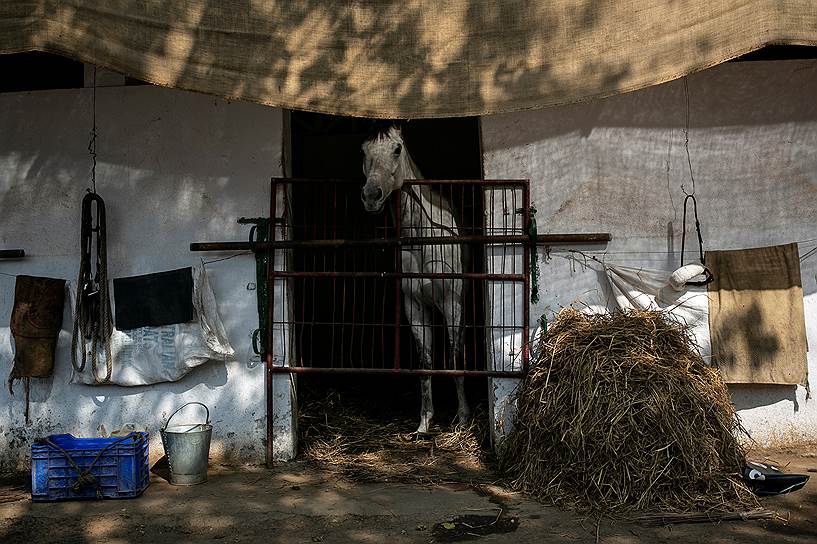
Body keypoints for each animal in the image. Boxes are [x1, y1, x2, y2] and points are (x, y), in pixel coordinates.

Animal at [360, 124, 468, 434]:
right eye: (363, 149)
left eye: (397, 149)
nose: (371, 195)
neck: (423, 238)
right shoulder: (414, 306)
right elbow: (424, 360)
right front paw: (424, 422)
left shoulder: (452, 303)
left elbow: (454, 356)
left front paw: (463, 418)